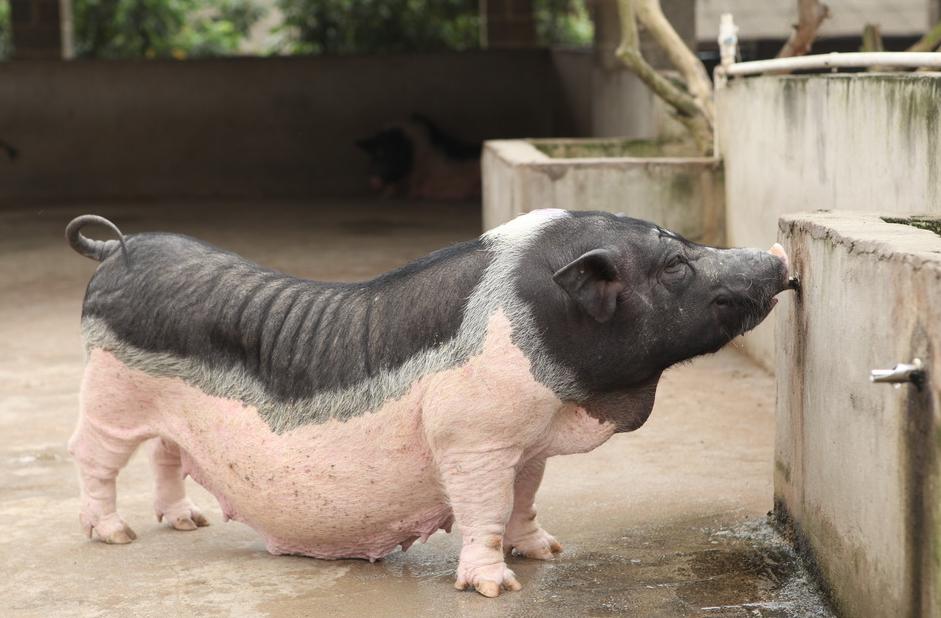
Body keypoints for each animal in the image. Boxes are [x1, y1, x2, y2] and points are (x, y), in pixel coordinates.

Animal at [64, 209, 784, 596]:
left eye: (684, 243)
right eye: (674, 266)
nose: (775, 258)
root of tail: (117, 249)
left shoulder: (525, 441)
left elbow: (525, 498)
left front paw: (546, 554)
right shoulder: (473, 437)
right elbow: (485, 509)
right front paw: (497, 587)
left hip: (162, 408)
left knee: (166, 453)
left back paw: (187, 523)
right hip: (109, 390)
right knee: (96, 457)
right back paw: (115, 534)